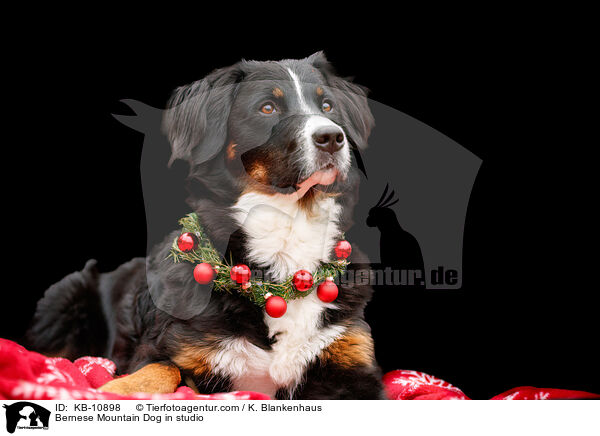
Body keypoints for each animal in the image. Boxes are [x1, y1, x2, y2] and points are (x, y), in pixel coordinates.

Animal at [25, 52, 386, 400]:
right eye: (267, 108)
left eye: (328, 106)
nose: (331, 137)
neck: (287, 233)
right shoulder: (171, 346)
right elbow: (161, 369)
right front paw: (113, 389)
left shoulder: (353, 364)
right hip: (66, 295)